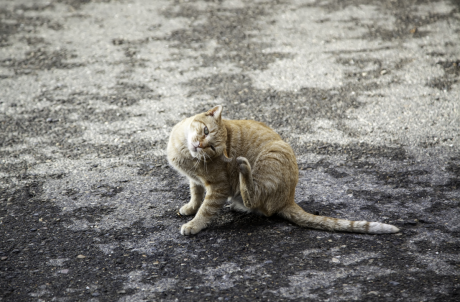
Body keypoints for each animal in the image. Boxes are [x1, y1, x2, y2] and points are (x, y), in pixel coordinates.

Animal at [166, 106, 398, 236]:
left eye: (212, 147)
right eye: (205, 131)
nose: (200, 145)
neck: (185, 152)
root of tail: (289, 198)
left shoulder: (218, 188)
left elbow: (206, 210)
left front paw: (194, 224)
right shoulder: (195, 181)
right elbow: (196, 194)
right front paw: (190, 207)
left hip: (273, 153)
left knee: (255, 197)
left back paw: (243, 170)